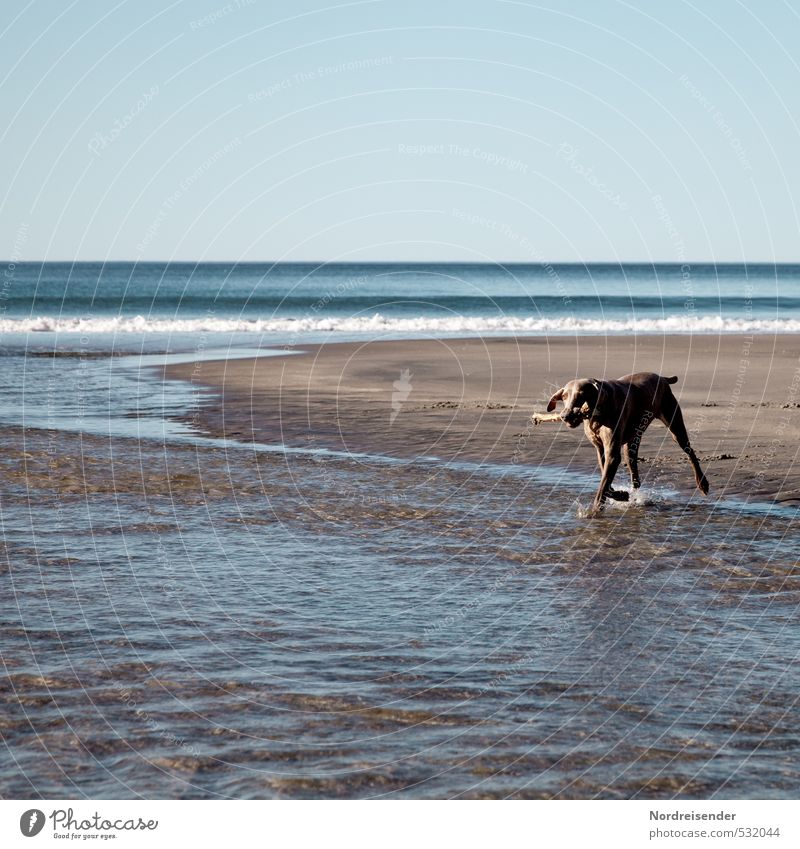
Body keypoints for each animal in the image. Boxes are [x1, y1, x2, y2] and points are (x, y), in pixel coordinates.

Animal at [548, 372, 708, 506]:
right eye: (564, 396)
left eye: (582, 395)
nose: (566, 415)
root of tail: (662, 377)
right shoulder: (600, 449)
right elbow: (606, 481)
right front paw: (621, 495)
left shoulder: (612, 452)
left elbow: (603, 487)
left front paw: (594, 511)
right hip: (631, 443)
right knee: (635, 475)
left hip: (674, 423)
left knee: (689, 451)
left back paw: (702, 483)